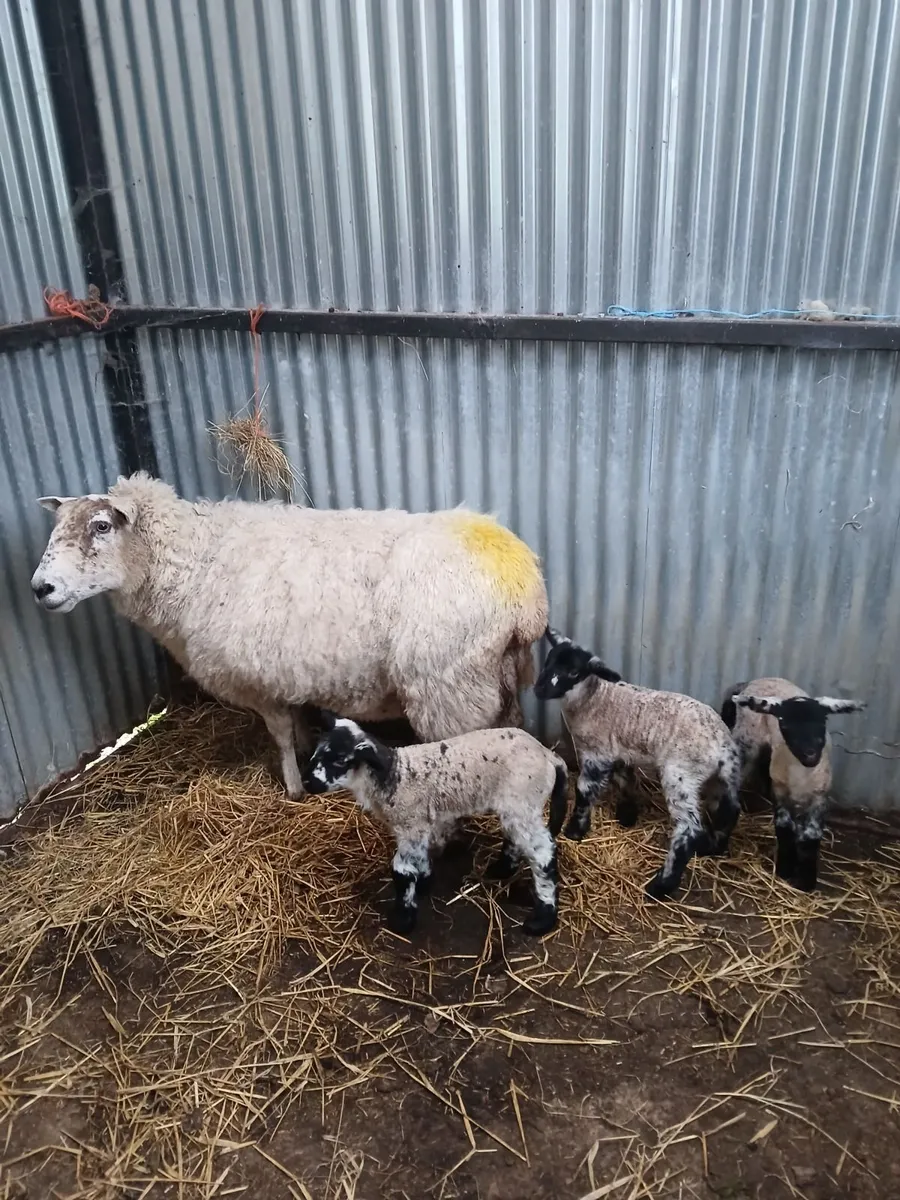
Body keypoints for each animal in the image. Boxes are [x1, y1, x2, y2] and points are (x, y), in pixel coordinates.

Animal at [30, 474, 548, 798]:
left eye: (101, 526)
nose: (40, 588)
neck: (194, 563)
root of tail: (524, 588)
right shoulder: (284, 674)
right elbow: (295, 727)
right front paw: (303, 753)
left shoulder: (256, 679)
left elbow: (279, 736)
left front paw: (293, 787)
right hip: (497, 676)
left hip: (448, 686)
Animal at [301, 713, 569, 935]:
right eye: (317, 751)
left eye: (340, 761)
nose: (306, 782)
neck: (395, 777)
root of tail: (549, 756)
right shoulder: (417, 826)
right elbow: (420, 858)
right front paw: (423, 884)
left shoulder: (410, 824)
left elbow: (402, 870)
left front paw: (402, 920)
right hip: (515, 806)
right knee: (516, 837)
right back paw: (501, 870)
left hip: (524, 801)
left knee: (542, 853)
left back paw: (542, 920)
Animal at [534, 628, 741, 900]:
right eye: (548, 660)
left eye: (574, 672)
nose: (538, 689)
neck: (595, 698)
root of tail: (722, 744)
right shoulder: (620, 750)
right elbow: (625, 780)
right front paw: (627, 815)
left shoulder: (596, 753)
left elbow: (584, 792)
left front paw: (575, 830)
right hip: (720, 777)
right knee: (729, 809)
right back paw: (714, 847)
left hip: (680, 774)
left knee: (688, 829)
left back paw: (661, 885)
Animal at [721, 679, 865, 891]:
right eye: (785, 725)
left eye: (822, 722)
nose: (810, 754)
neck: (802, 775)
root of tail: (756, 680)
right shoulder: (781, 792)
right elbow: (784, 827)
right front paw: (785, 870)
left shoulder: (820, 797)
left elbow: (811, 835)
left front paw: (805, 882)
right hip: (747, 741)